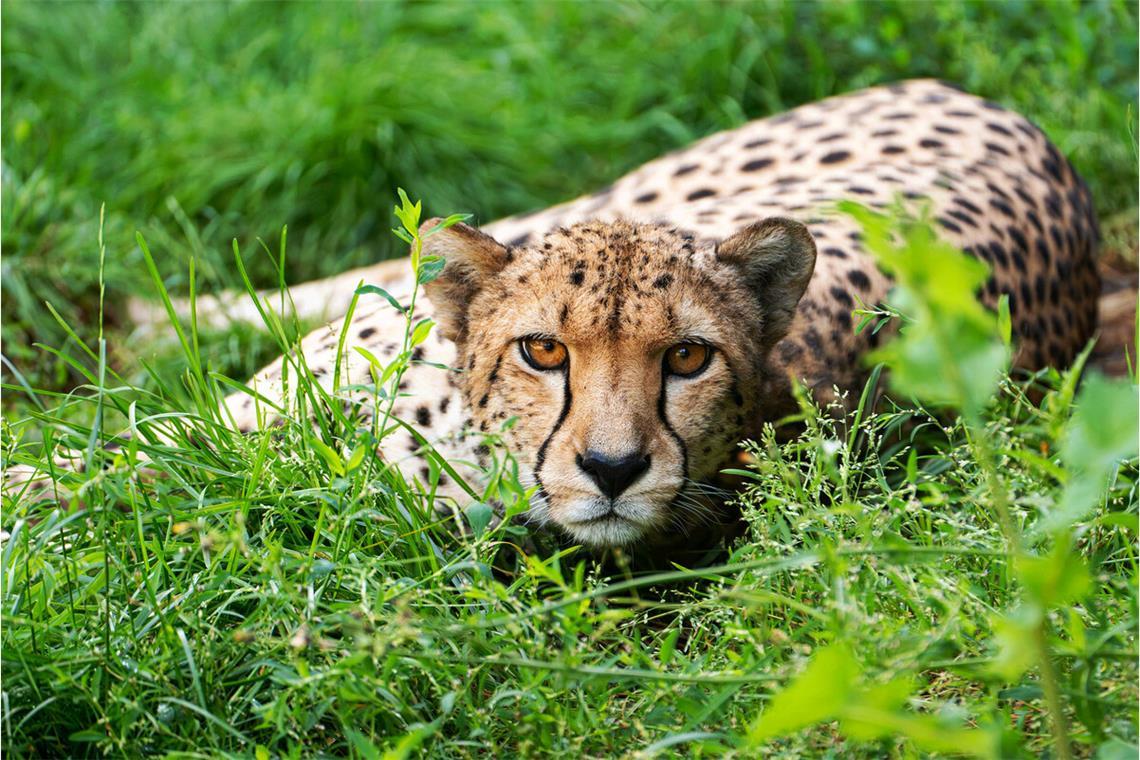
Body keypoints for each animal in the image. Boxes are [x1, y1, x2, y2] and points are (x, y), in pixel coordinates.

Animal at [40, 82, 1108, 546]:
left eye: (688, 360)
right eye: (544, 349)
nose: (613, 470)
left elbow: (132, 468)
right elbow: (122, 451)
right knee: (372, 270)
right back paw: (156, 317)